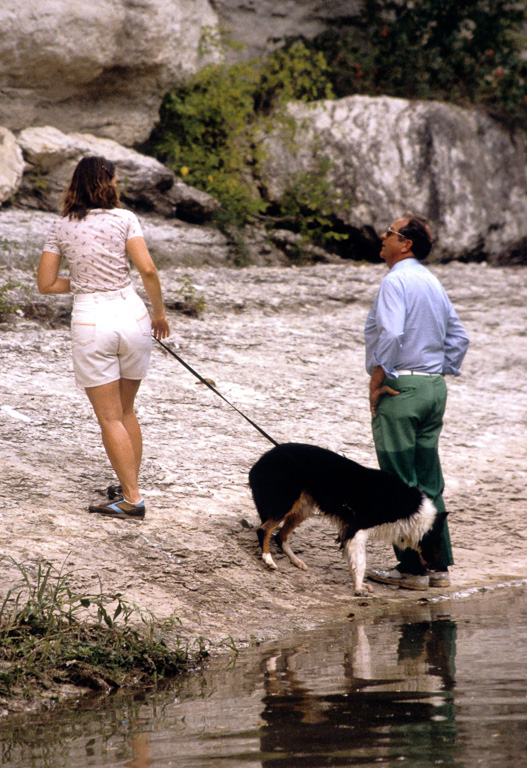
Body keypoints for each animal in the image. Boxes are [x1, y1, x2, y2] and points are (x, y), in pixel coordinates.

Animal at [250, 440, 440, 596]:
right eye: (436, 541)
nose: (435, 567)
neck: (411, 510)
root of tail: (259, 463)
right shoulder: (358, 530)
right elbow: (361, 562)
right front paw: (358, 588)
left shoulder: (348, 531)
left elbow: (353, 561)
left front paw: (359, 585)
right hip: (286, 503)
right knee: (264, 530)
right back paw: (268, 559)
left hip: (303, 508)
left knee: (280, 536)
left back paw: (297, 561)